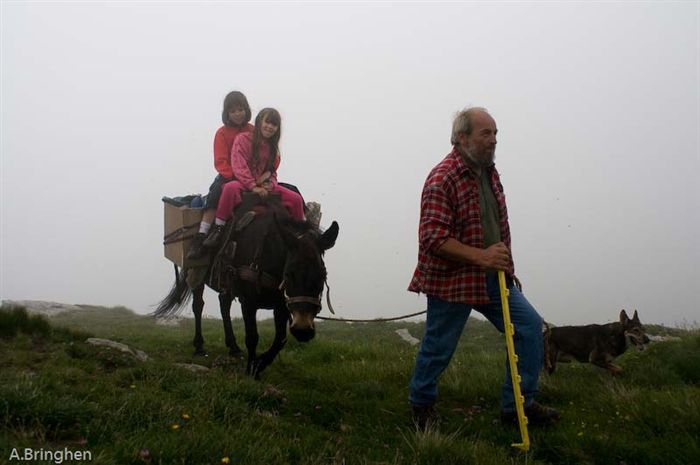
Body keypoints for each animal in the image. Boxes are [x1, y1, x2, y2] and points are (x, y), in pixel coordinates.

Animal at [155, 195, 339, 378]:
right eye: (289, 274)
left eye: (323, 275)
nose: (303, 330)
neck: (267, 252)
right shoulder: (248, 302)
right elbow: (252, 337)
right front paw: (251, 369)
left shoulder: (282, 305)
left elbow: (280, 339)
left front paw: (260, 363)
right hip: (198, 274)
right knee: (198, 306)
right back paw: (199, 346)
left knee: (224, 305)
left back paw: (233, 347)